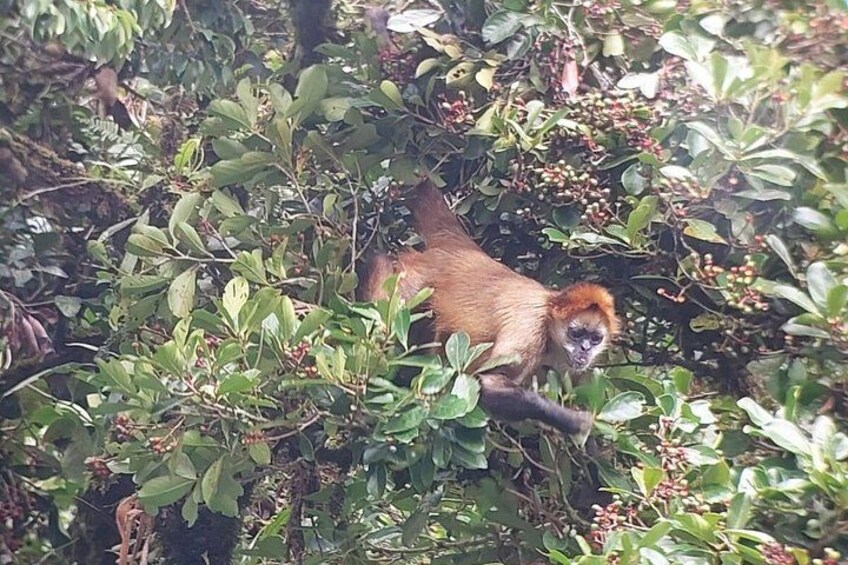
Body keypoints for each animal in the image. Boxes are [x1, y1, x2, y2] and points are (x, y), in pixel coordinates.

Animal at [357, 180, 619, 438]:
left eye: (594, 338)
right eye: (576, 333)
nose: (585, 349)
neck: (548, 312)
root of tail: (461, 250)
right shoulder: (530, 328)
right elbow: (490, 383)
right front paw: (575, 421)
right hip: (410, 285)